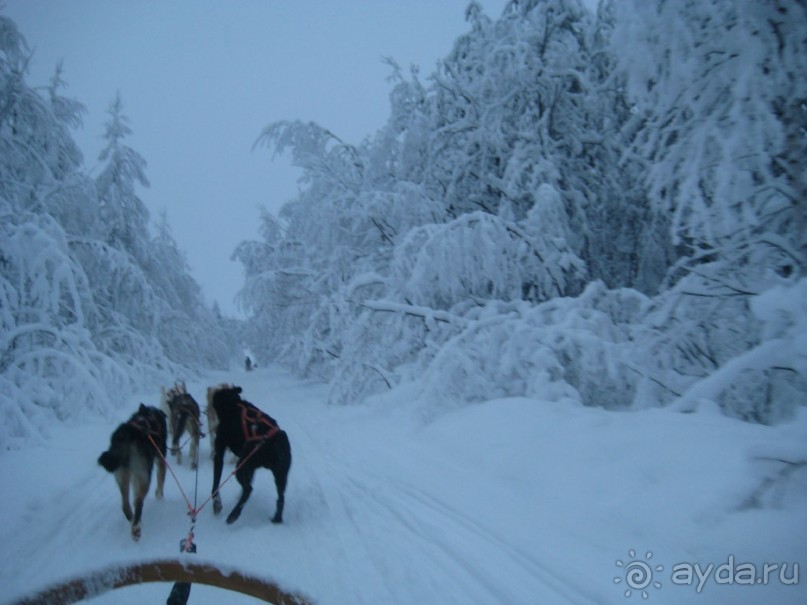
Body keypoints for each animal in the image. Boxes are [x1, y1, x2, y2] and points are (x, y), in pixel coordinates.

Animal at [98, 404, 167, 540]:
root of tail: (126, 434)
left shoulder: (134, 476)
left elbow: (134, 495)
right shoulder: (160, 460)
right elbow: (160, 482)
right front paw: (159, 495)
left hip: (123, 476)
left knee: (125, 504)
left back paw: (133, 519)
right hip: (144, 476)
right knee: (140, 501)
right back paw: (136, 528)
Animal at [210, 386, 292, 524]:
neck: (233, 403)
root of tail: (274, 441)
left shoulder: (219, 453)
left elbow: (215, 484)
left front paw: (216, 504)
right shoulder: (251, 467)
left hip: (241, 467)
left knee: (249, 489)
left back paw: (234, 514)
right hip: (280, 475)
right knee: (280, 498)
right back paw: (277, 518)